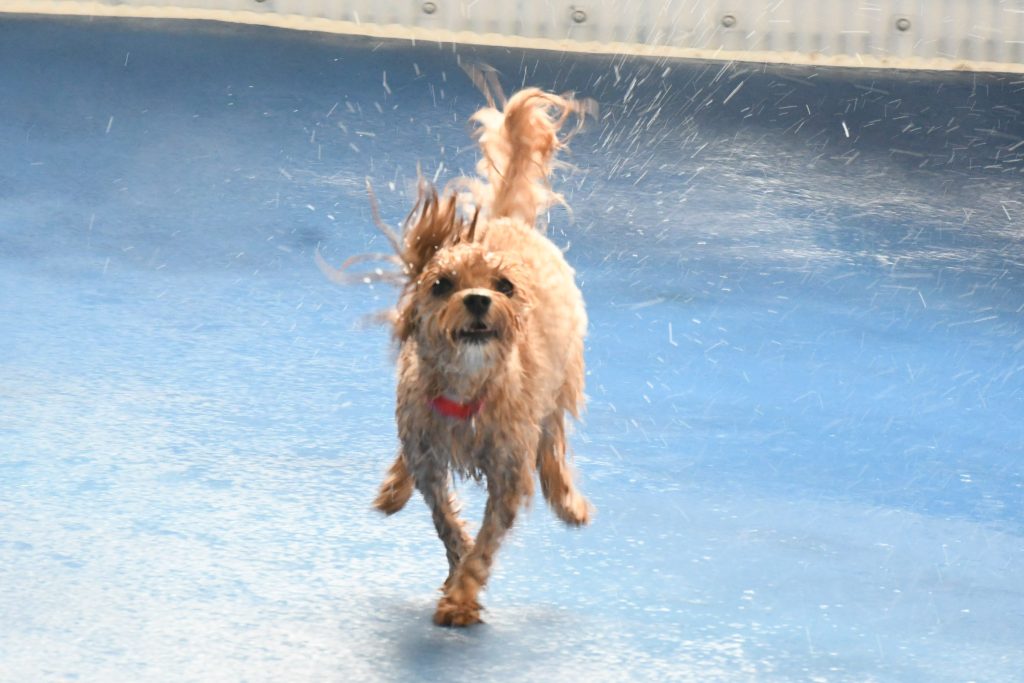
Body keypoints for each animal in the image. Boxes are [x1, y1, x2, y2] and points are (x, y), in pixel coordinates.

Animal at [327, 83, 598, 626]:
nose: (477, 300)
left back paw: (566, 499)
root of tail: (506, 219)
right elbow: (448, 524)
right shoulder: (430, 460)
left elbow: (485, 543)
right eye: (441, 284)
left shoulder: (508, 476)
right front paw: (457, 578)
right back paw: (395, 485)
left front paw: (461, 595)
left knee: (553, 441)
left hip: (562, 379)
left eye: (505, 285)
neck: (466, 388)